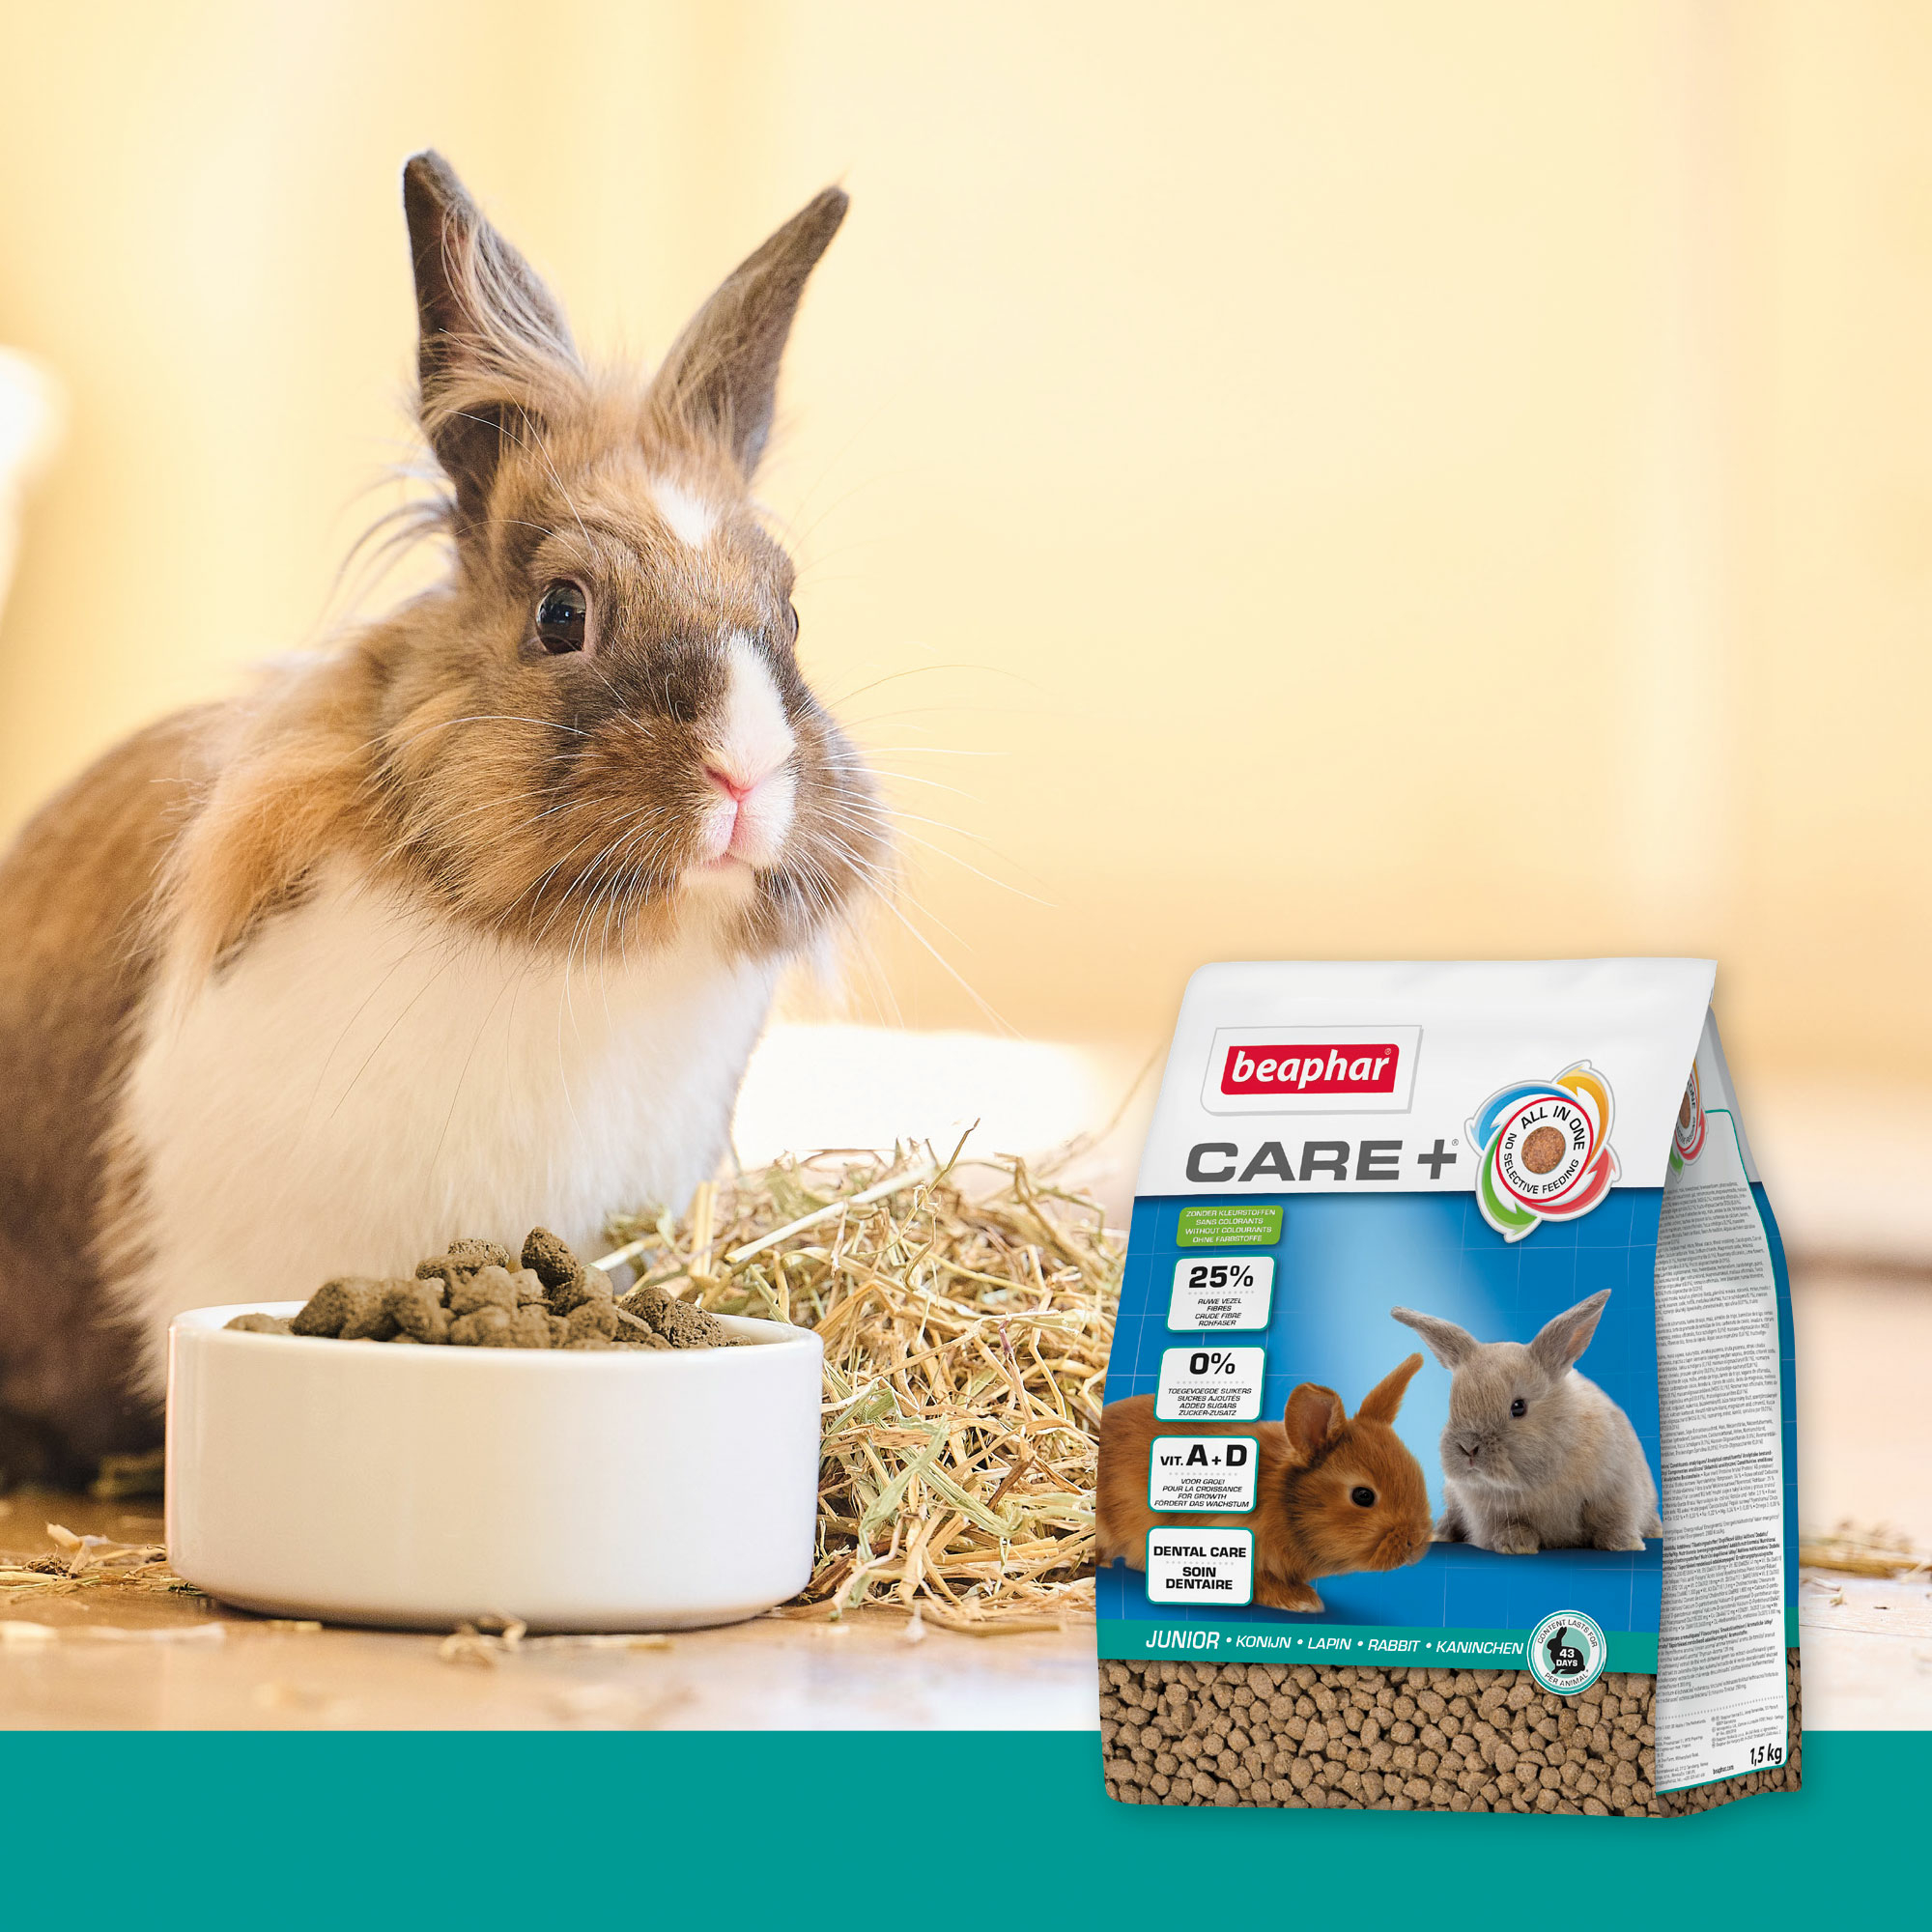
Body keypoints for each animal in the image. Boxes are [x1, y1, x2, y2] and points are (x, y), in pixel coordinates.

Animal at [1390, 1290, 1662, 1555]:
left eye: (1518, 1407)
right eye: (1452, 1404)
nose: (1468, 1448)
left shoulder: (1618, 1489)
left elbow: (1614, 1519)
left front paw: (1626, 1544)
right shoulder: (1487, 1514)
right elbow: (1510, 1525)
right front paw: (1516, 1545)